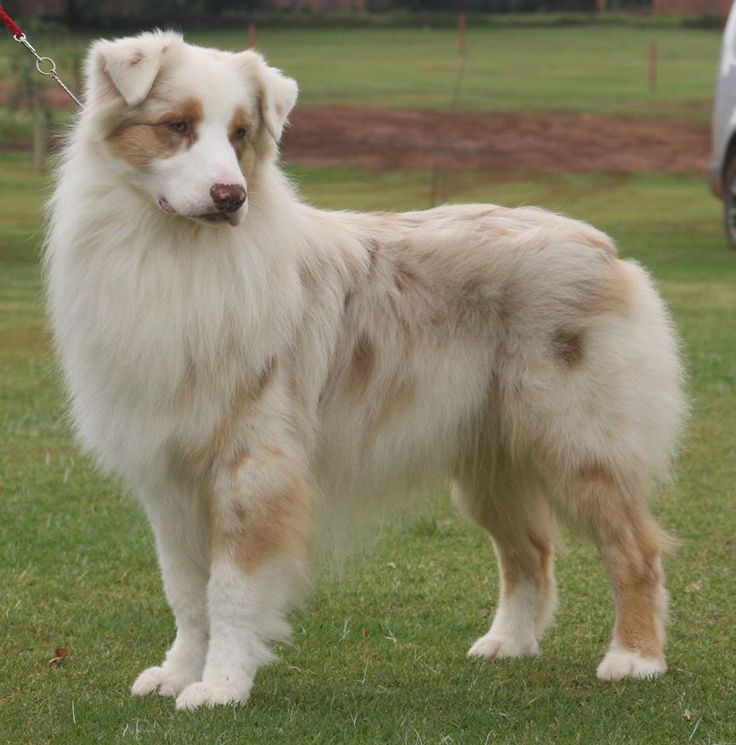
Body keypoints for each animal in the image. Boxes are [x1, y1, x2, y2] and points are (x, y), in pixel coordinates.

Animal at [46, 30, 688, 708]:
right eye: (177, 126)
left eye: (241, 134)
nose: (231, 196)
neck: (177, 253)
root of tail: (603, 247)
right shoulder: (169, 477)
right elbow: (186, 593)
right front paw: (177, 673)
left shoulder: (252, 468)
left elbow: (230, 591)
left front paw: (220, 686)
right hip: (488, 460)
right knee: (529, 550)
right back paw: (509, 643)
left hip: (579, 443)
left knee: (635, 550)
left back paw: (634, 657)